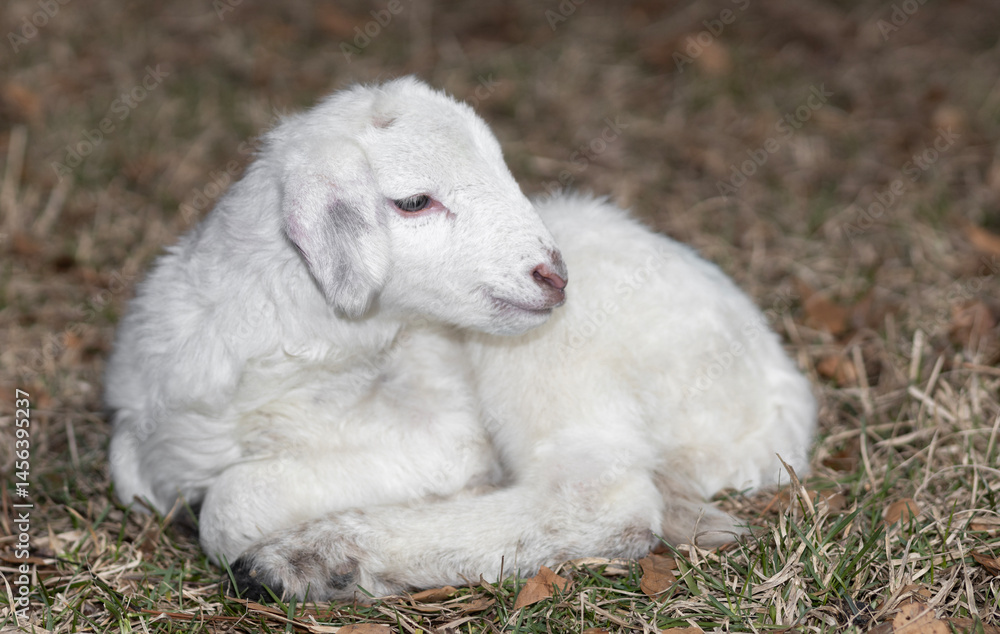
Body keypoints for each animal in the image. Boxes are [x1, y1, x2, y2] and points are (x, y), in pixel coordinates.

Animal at [104, 76, 816, 602]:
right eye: (414, 201)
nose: (553, 275)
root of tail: (783, 399)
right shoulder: (139, 443)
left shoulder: (440, 435)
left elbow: (232, 502)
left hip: (564, 352)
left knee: (599, 500)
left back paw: (316, 559)